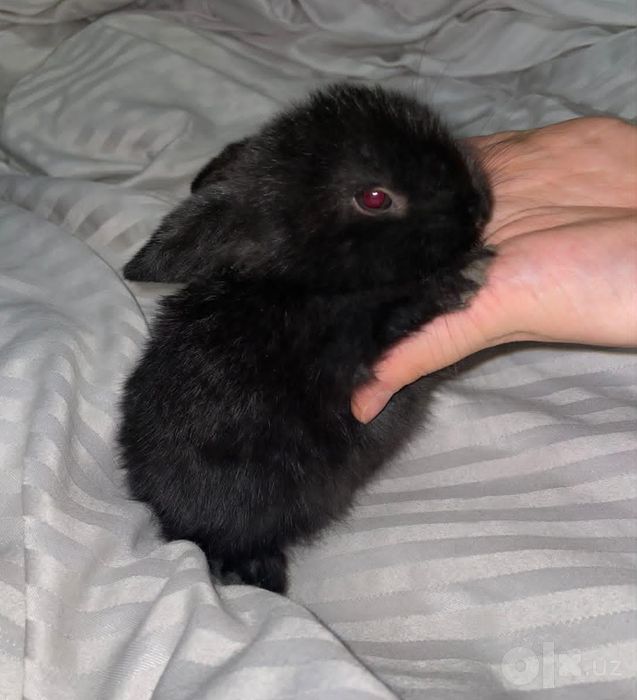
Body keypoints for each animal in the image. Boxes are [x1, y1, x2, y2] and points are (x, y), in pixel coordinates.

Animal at [118, 84, 493, 594]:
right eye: (374, 197)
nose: (478, 206)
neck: (310, 284)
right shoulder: (342, 348)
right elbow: (391, 315)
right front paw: (463, 277)